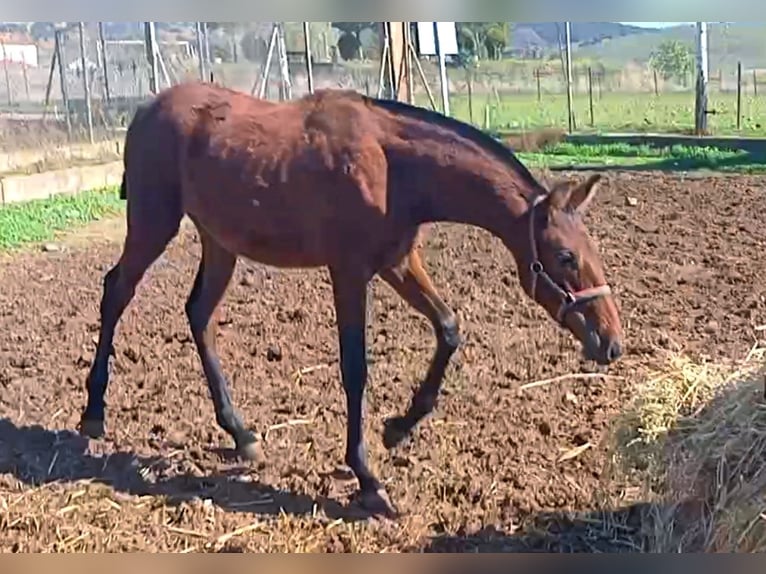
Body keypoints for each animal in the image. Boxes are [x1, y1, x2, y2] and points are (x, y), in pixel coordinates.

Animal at [79, 83, 624, 520]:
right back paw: (94, 412)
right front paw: (368, 479)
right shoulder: (349, 271)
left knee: (199, 315)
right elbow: (355, 368)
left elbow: (448, 328)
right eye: (565, 256)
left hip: (220, 242)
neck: (394, 167)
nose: (611, 342)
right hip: (153, 222)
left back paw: (240, 432)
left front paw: (399, 428)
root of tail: (147, 108)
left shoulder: (398, 262)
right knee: (116, 292)